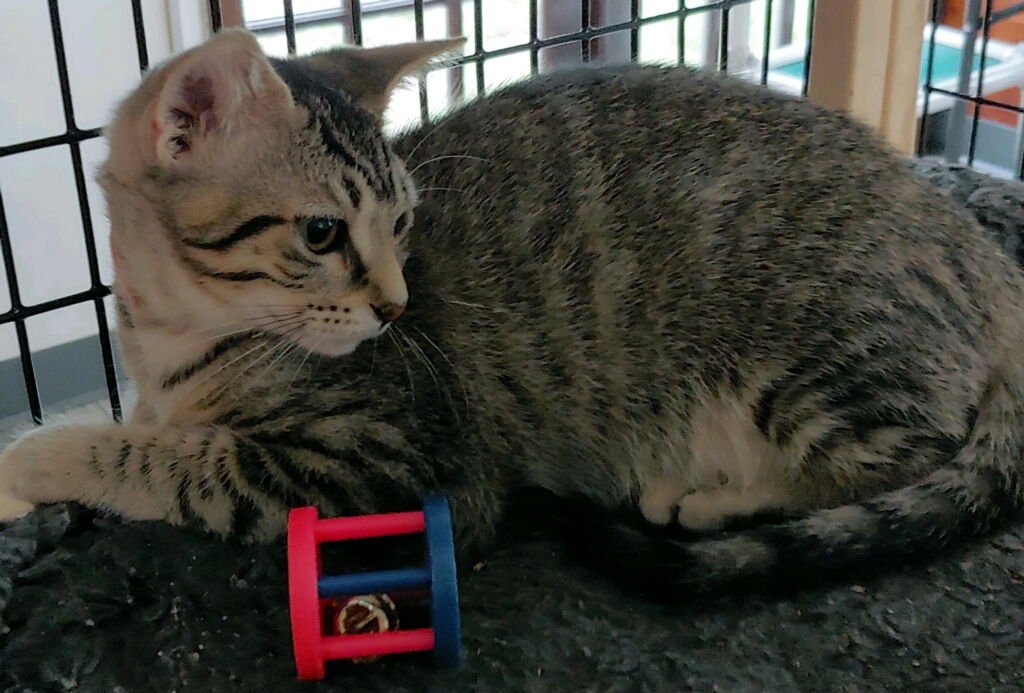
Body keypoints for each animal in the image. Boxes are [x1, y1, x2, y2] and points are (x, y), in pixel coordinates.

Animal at [1, 28, 1023, 593]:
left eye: (402, 221)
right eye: (324, 233)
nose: (395, 305)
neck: (178, 336)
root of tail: (973, 247)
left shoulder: (398, 461)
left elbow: (181, 461)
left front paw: (37, 457)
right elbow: (160, 426)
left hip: (816, 356)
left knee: (911, 453)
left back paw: (705, 496)